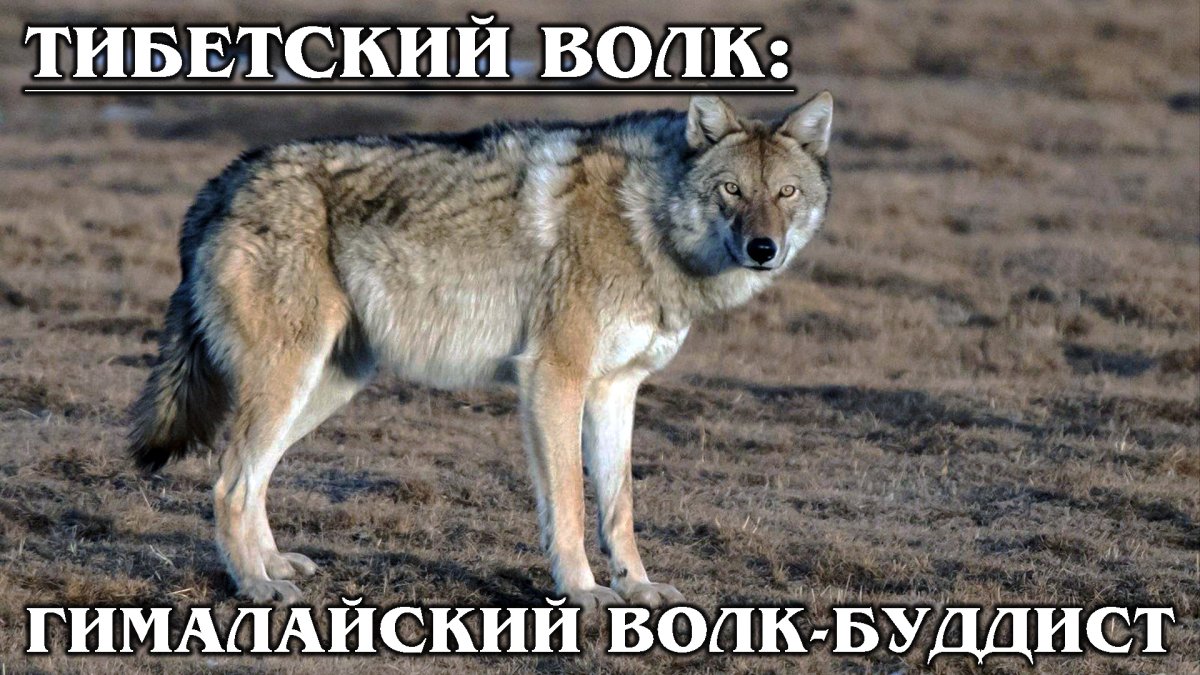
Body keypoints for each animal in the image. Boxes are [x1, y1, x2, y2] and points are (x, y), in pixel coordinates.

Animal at [128, 92, 833, 609]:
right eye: (732, 190)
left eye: (786, 193)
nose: (764, 249)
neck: (646, 222)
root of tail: (224, 179)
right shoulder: (553, 376)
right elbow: (569, 504)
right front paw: (584, 592)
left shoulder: (616, 388)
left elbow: (619, 505)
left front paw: (636, 585)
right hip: (291, 379)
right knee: (229, 482)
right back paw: (255, 585)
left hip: (327, 385)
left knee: (257, 475)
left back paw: (273, 564)